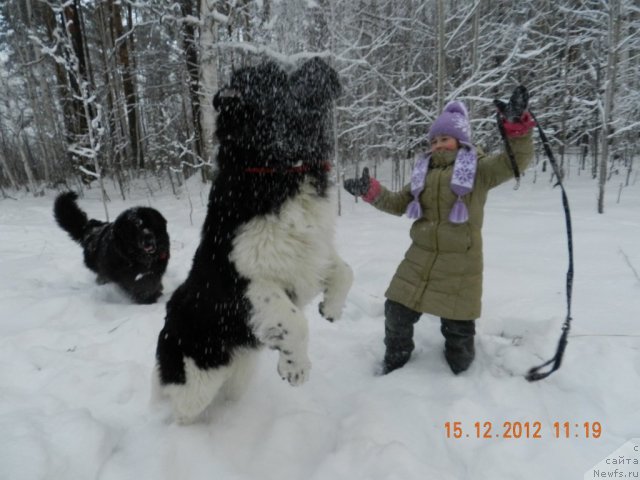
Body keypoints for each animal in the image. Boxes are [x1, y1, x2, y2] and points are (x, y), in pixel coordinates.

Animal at [155, 58, 356, 422]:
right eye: (278, 80)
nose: (318, 61)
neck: (279, 175)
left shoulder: (311, 254)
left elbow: (344, 270)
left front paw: (331, 309)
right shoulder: (245, 281)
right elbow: (294, 320)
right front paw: (295, 369)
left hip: (239, 371)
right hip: (196, 382)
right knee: (181, 409)